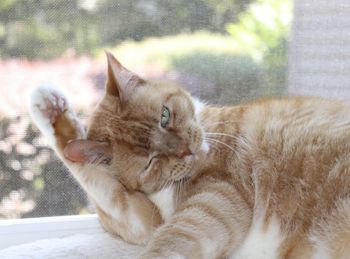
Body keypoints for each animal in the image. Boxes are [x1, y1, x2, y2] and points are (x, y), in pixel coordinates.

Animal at [29, 53, 350, 259]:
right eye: (150, 161)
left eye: (164, 115)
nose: (186, 149)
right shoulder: (143, 220)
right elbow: (95, 179)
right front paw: (51, 112)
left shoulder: (218, 199)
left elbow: (171, 242)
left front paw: (52, 109)